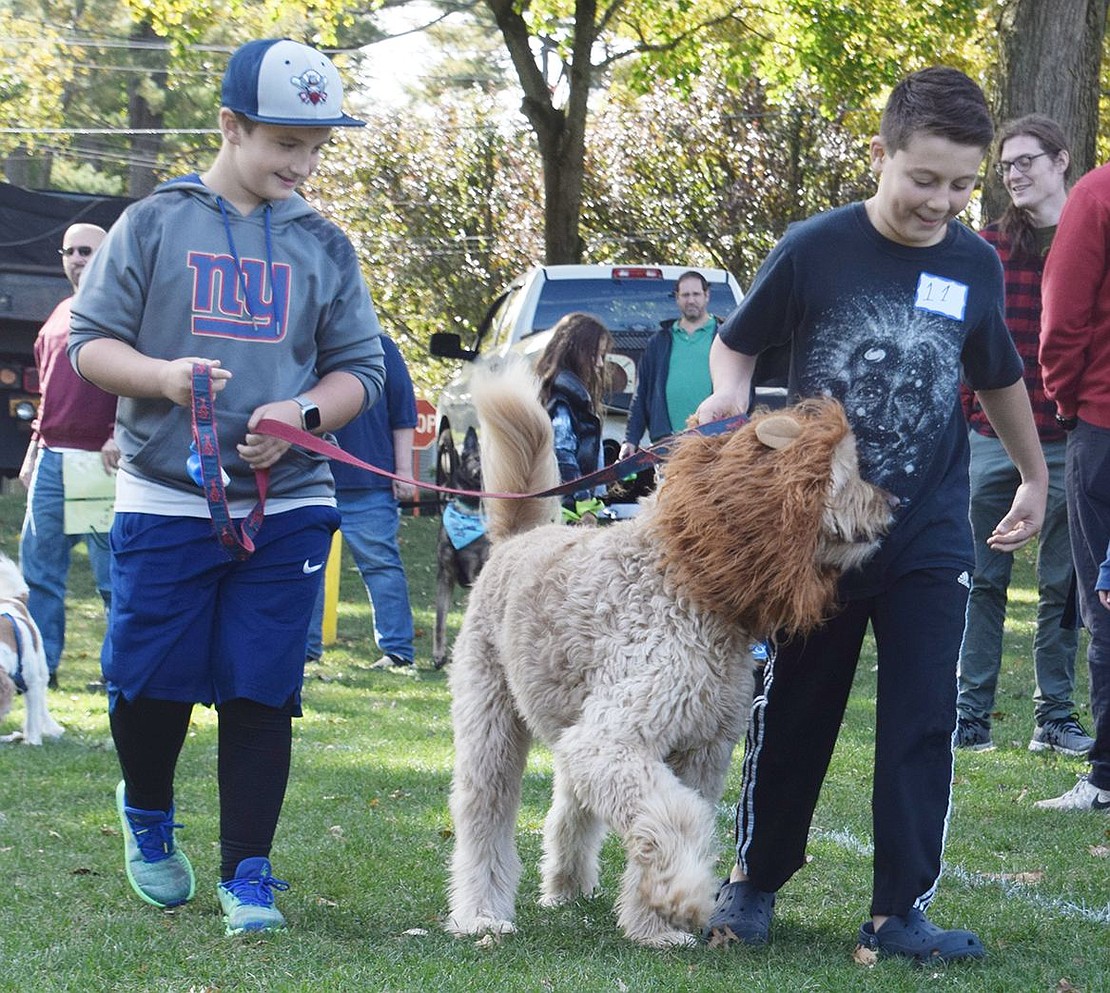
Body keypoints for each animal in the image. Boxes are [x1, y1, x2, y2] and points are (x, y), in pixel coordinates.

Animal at [0, 550, 64, 745]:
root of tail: (14, 599)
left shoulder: (33, 681)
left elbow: (34, 715)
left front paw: (32, 741)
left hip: (42, 668)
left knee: (42, 704)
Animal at [444, 363, 892, 949]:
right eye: (847, 471)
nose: (892, 506)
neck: (687, 583)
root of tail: (519, 538)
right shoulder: (616, 741)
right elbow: (679, 820)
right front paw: (684, 896)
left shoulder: (696, 750)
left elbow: (669, 822)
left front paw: (654, 924)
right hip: (491, 720)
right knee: (485, 815)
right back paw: (480, 913)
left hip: (569, 724)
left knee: (569, 807)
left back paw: (568, 886)